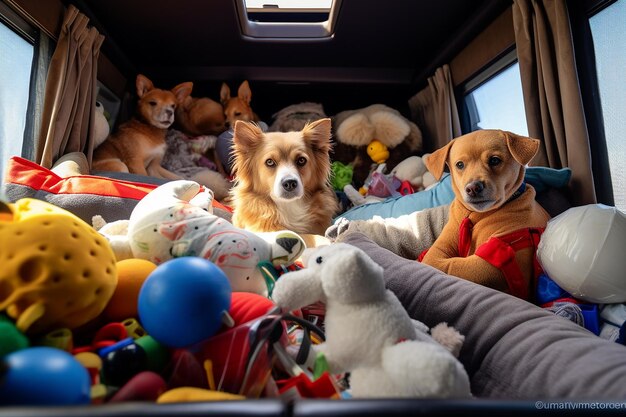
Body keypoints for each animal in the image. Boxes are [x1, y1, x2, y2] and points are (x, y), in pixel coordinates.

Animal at [420, 130, 544, 300]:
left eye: (494, 160)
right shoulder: (441, 246)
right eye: (460, 165)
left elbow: (450, 267)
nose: (473, 188)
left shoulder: (490, 262)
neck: (476, 215)